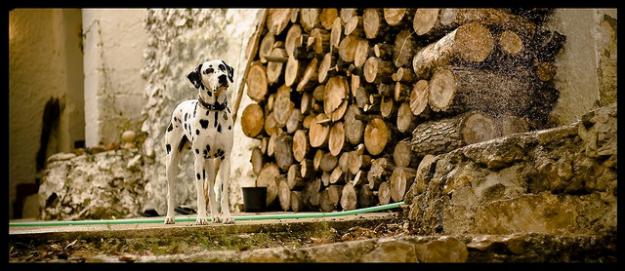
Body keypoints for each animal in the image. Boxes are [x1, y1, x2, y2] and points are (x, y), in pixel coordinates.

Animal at [163, 59, 234, 225]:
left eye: (222, 68)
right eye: (208, 71)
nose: (222, 77)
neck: (215, 112)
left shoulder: (225, 159)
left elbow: (222, 192)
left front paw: (226, 216)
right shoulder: (199, 160)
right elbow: (200, 193)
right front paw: (201, 218)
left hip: (210, 164)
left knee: (211, 191)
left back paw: (215, 216)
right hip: (171, 162)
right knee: (171, 191)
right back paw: (170, 217)